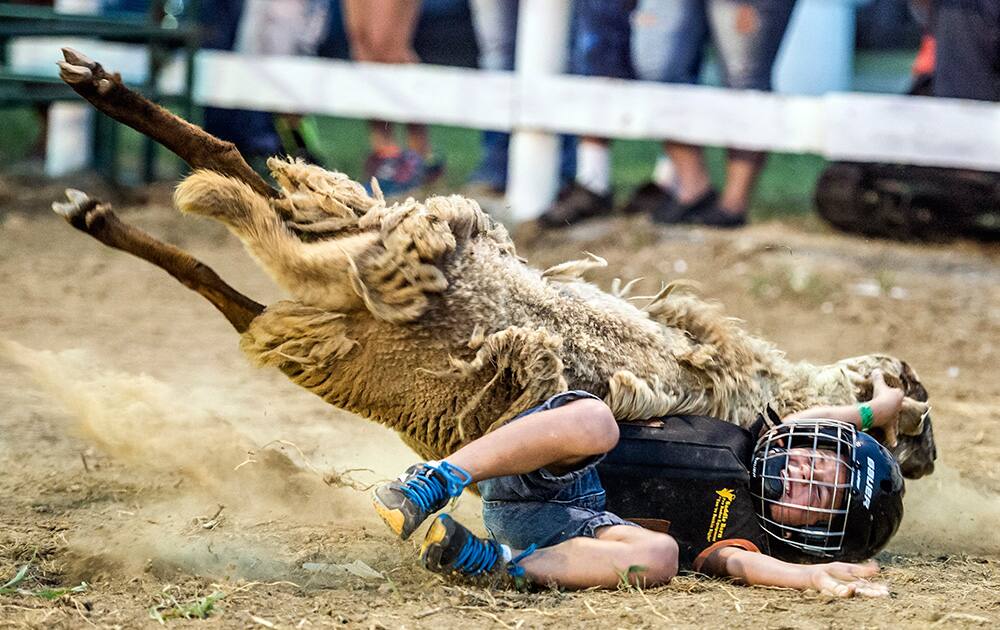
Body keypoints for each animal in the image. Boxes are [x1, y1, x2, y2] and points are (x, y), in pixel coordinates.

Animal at [50, 49, 932, 478]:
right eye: (915, 415)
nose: (923, 461)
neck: (782, 390)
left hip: (336, 311)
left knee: (242, 256)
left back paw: (105, 191)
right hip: (408, 254)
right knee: (260, 204)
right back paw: (132, 128)